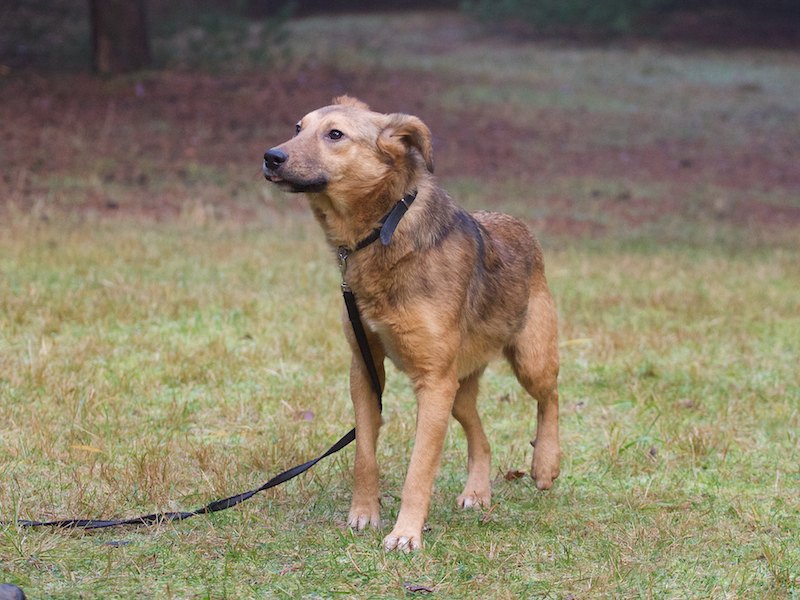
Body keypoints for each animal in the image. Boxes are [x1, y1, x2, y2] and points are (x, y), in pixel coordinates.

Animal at [262, 96, 560, 551]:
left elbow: (419, 470)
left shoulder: (432, 383)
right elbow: (364, 455)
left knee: (551, 397)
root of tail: (519, 224)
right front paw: (364, 514)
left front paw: (405, 535)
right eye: (298, 127)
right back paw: (478, 492)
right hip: (458, 390)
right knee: (481, 438)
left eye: (335, 134)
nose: (270, 156)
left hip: (528, 361)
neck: (384, 228)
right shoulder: (367, 371)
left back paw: (545, 463)